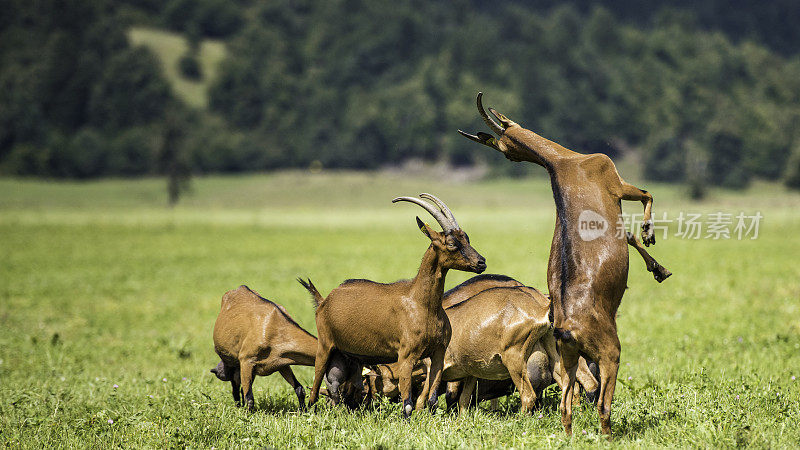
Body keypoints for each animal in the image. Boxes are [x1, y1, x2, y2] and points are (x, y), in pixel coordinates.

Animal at [300, 193, 488, 418]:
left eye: (466, 238)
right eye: (451, 243)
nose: (481, 262)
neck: (422, 304)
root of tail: (324, 300)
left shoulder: (438, 353)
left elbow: (432, 399)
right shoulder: (406, 355)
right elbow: (407, 403)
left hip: (351, 356)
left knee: (349, 386)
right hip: (325, 344)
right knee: (316, 383)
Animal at [460, 92, 672, 436]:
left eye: (507, 153)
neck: (566, 162)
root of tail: (567, 328)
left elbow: (628, 234)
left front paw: (657, 267)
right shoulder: (616, 183)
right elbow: (646, 195)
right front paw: (652, 244)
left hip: (568, 358)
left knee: (565, 405)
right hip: (609, 354)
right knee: (601, 403)